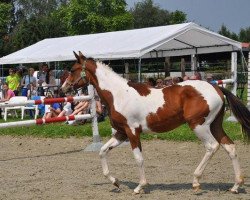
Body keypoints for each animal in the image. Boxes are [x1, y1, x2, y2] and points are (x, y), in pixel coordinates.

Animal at [61, 51, 250, 194]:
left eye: (72, 69)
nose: (63, 88)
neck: (118, 94)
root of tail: (217, 87)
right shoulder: (120, 134)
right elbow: (102, 151)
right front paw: (115, 181)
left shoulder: (132, 132)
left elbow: (138, 158)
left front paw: (140, 187)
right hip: (215, 125)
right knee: (230, 147)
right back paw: (235, 186)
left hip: (199, 126)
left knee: (212, 147)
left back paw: (196, 182)